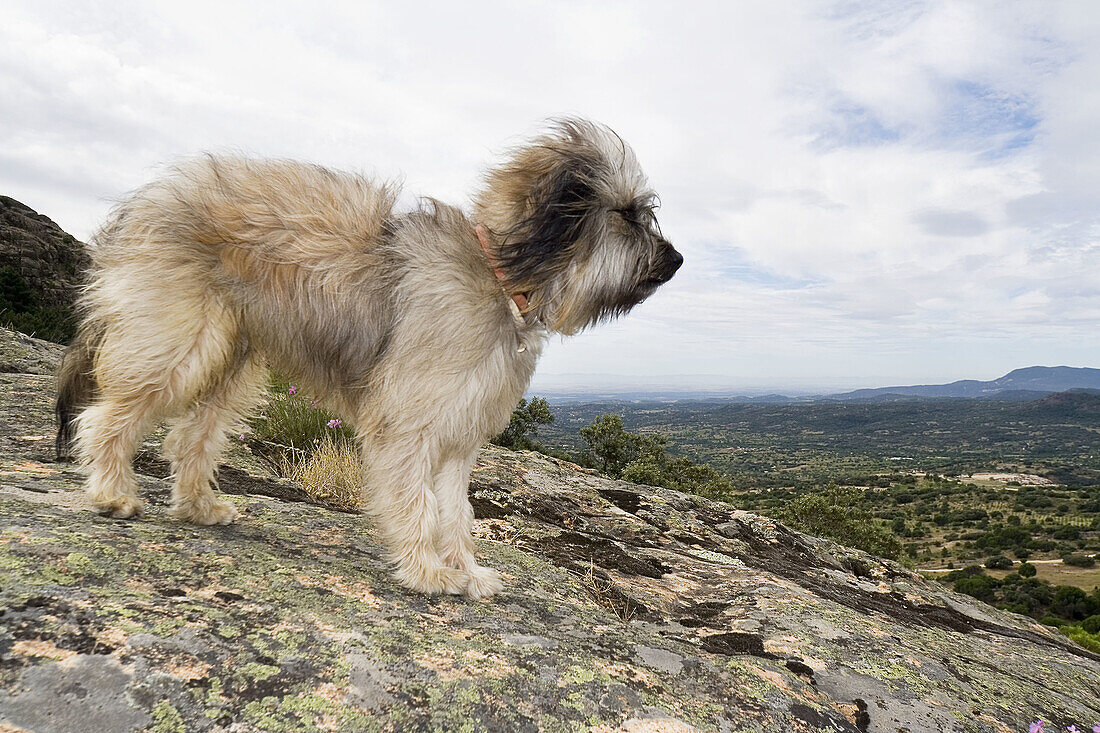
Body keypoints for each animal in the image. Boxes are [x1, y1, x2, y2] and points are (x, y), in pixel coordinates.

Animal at [60, 119, 682, 598]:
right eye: (628, 214)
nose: (677, 260)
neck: (499, 276)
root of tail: (145, 199)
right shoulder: (410, 422)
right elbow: (418, 502)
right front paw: (427, 571)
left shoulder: (460, 431)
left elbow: (456, 513)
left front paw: (467, 571)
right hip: (181, 341)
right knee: (108, 415)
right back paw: (112, 491)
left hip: (232, 358)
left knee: (192, 435)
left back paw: (197, 505)